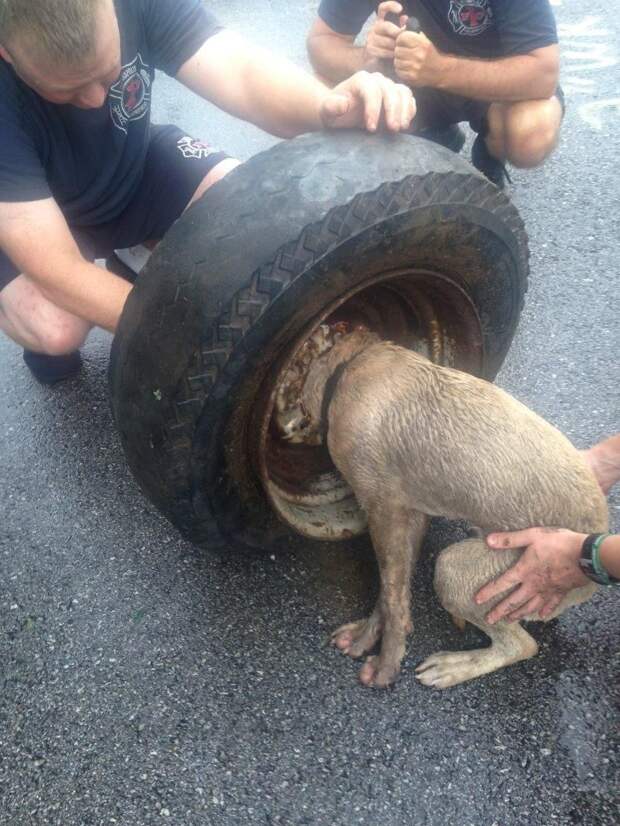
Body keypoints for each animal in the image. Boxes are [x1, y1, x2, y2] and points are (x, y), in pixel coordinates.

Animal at [300, 328, 612, 688]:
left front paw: (385, 664)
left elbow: (391, 592)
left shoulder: (383, 508)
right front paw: (374, 633)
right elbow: (396, 588)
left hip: (464, 570)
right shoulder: (410, 512)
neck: (354, 362)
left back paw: (453, 666)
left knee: (521, 645)